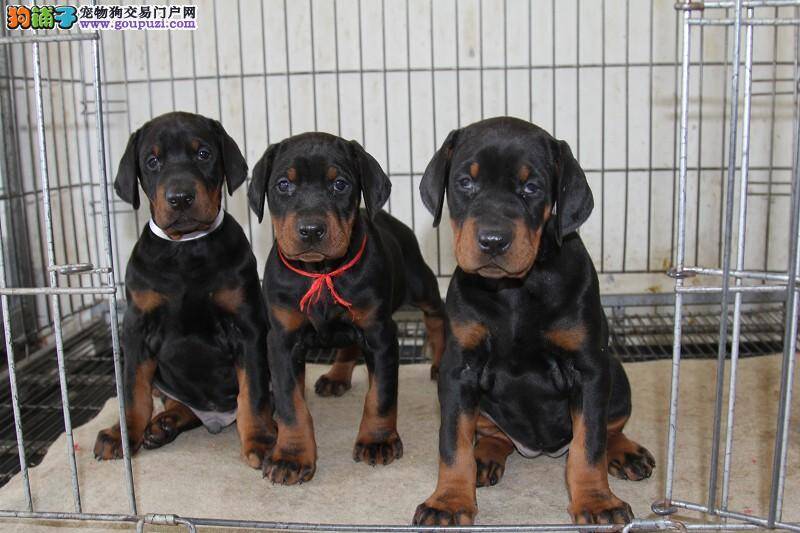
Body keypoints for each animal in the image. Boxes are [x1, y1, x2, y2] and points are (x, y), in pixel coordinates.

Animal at [93, 112, 276, 472]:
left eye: (204, 154)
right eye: (152, 161)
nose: (180, 198)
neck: (186, 250)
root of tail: (215, 419)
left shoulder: (246, 326)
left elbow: (253, 392)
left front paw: (259, 439)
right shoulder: (136, 327)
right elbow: (133, 389)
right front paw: (123, 434)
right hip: (165, 381)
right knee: (177, 404)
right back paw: (162, 425)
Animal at [247, 132, 445, 484]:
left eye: (340, 184)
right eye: (283, 185)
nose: (311, 230)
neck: (322, 271)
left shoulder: (379, 334)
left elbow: (381, 395)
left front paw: (378, 441)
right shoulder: (282, 340)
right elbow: (290, 402)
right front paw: (291, 456)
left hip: (419, 282)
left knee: (435, 314)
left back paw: (437, 359)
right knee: (347, 345)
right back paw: (336, 376)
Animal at [412, 117, 655, 526]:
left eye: (531, 187)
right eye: (465, 183)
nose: (493, 241)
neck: (514, 290)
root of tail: (539, 448)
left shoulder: (588, 369)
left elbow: (589, 445)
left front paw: (597, 502)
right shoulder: (459, 370)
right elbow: (452, 442)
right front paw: (448, 500)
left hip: (615, 373)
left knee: (610, 426)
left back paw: (624, 452)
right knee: (490, 433)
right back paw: (485, 457)